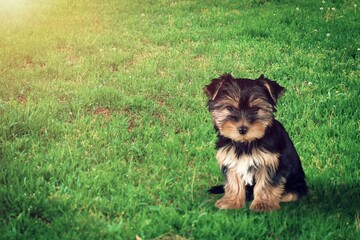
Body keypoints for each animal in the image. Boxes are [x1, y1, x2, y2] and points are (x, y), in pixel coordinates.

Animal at [204, 73, 308, 212]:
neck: (245, 143)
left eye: (255, 109)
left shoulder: (270, 162)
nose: (242, 129)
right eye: (230, 108)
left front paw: (263, 205)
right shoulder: (230, 159)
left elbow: (266, 184)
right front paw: (231, 202)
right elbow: (234, 182)